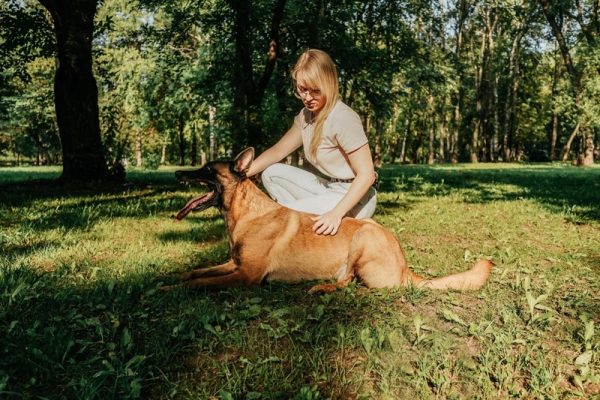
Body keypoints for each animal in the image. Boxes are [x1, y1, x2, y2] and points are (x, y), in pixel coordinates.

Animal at [159, 148, 492, 292]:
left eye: (207, 170)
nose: (177, 173)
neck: (246, 213)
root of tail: (405, 268)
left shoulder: (245, 276)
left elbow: (200, 283)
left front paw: (167, 289)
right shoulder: (234, 264)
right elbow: (195, 272)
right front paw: (171, 277)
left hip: (363, 237)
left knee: (351, 285)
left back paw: (321, 288)